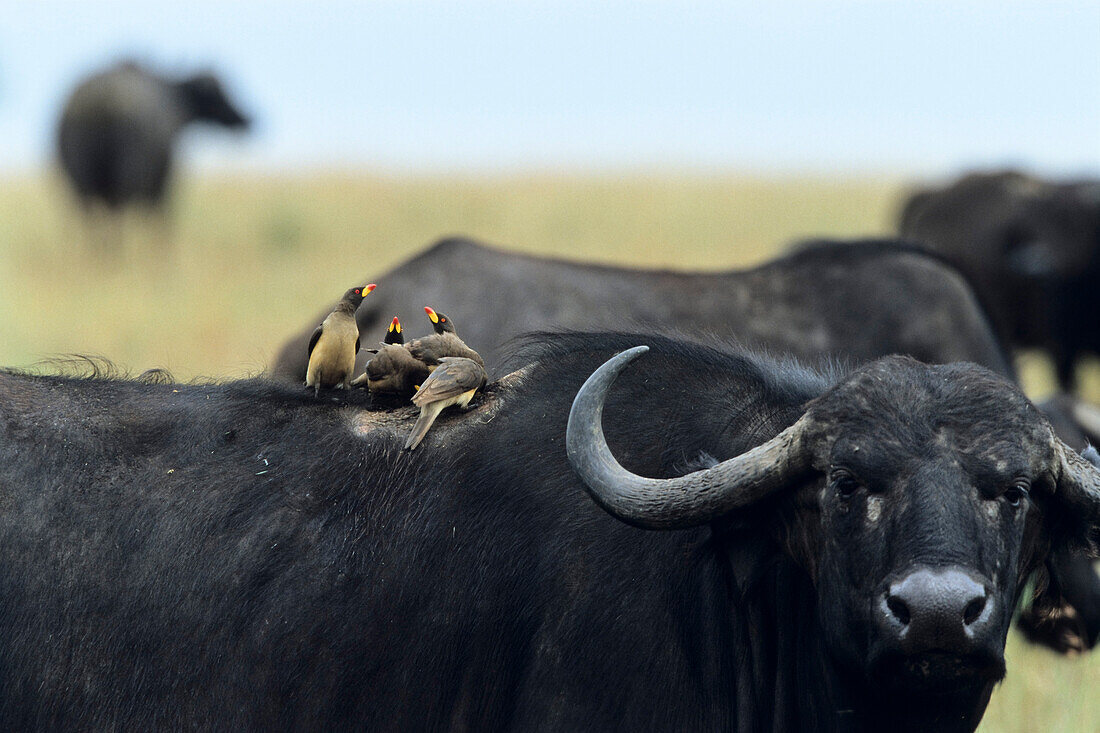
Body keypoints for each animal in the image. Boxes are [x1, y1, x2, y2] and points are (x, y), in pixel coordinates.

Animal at [56, 62, 249, 228]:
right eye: (218, 92)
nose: (246, 119)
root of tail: (101, 100)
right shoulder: (163, 181)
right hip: (125, 179)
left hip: (82, 180)